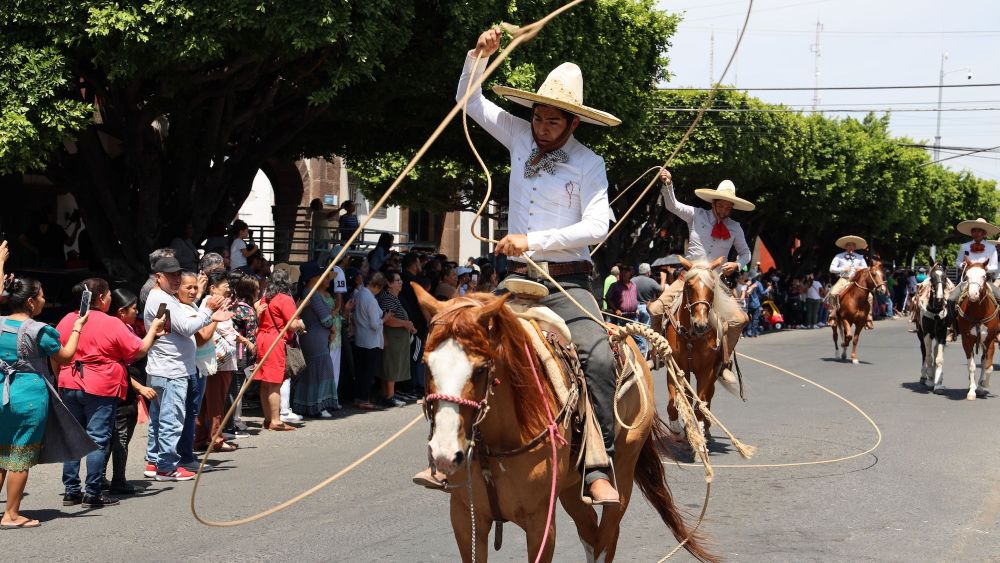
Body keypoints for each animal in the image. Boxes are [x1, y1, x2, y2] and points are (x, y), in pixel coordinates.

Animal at [410, 286, 716, 563]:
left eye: (481, 368)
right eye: (426, 364)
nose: (444, 453)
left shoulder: (540, 523)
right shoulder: (465, 517)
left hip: (623, 475)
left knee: (606, 538)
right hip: (571, 487)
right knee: (591, 533)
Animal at [660, 256, 732, 440]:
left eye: (712, 288)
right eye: (689, 286)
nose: (700, 324)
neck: (691, 337)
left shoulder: (706, 371)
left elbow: (701, 403)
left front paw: (699, 429)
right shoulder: (676, 367)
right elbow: (674, 402)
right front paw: (677, 429)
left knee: (708, 397)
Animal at [916, 264, 948, 392]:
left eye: (945, 277)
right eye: (932, 278)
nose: (939, 299)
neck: (935, 312)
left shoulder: (942, 333)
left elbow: (938, 358)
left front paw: (938, 383)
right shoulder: (927, 334)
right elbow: (929, 356)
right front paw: (930, 379)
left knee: (933, 350)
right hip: (920, 334)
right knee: (924, 351)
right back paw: (924, 376)